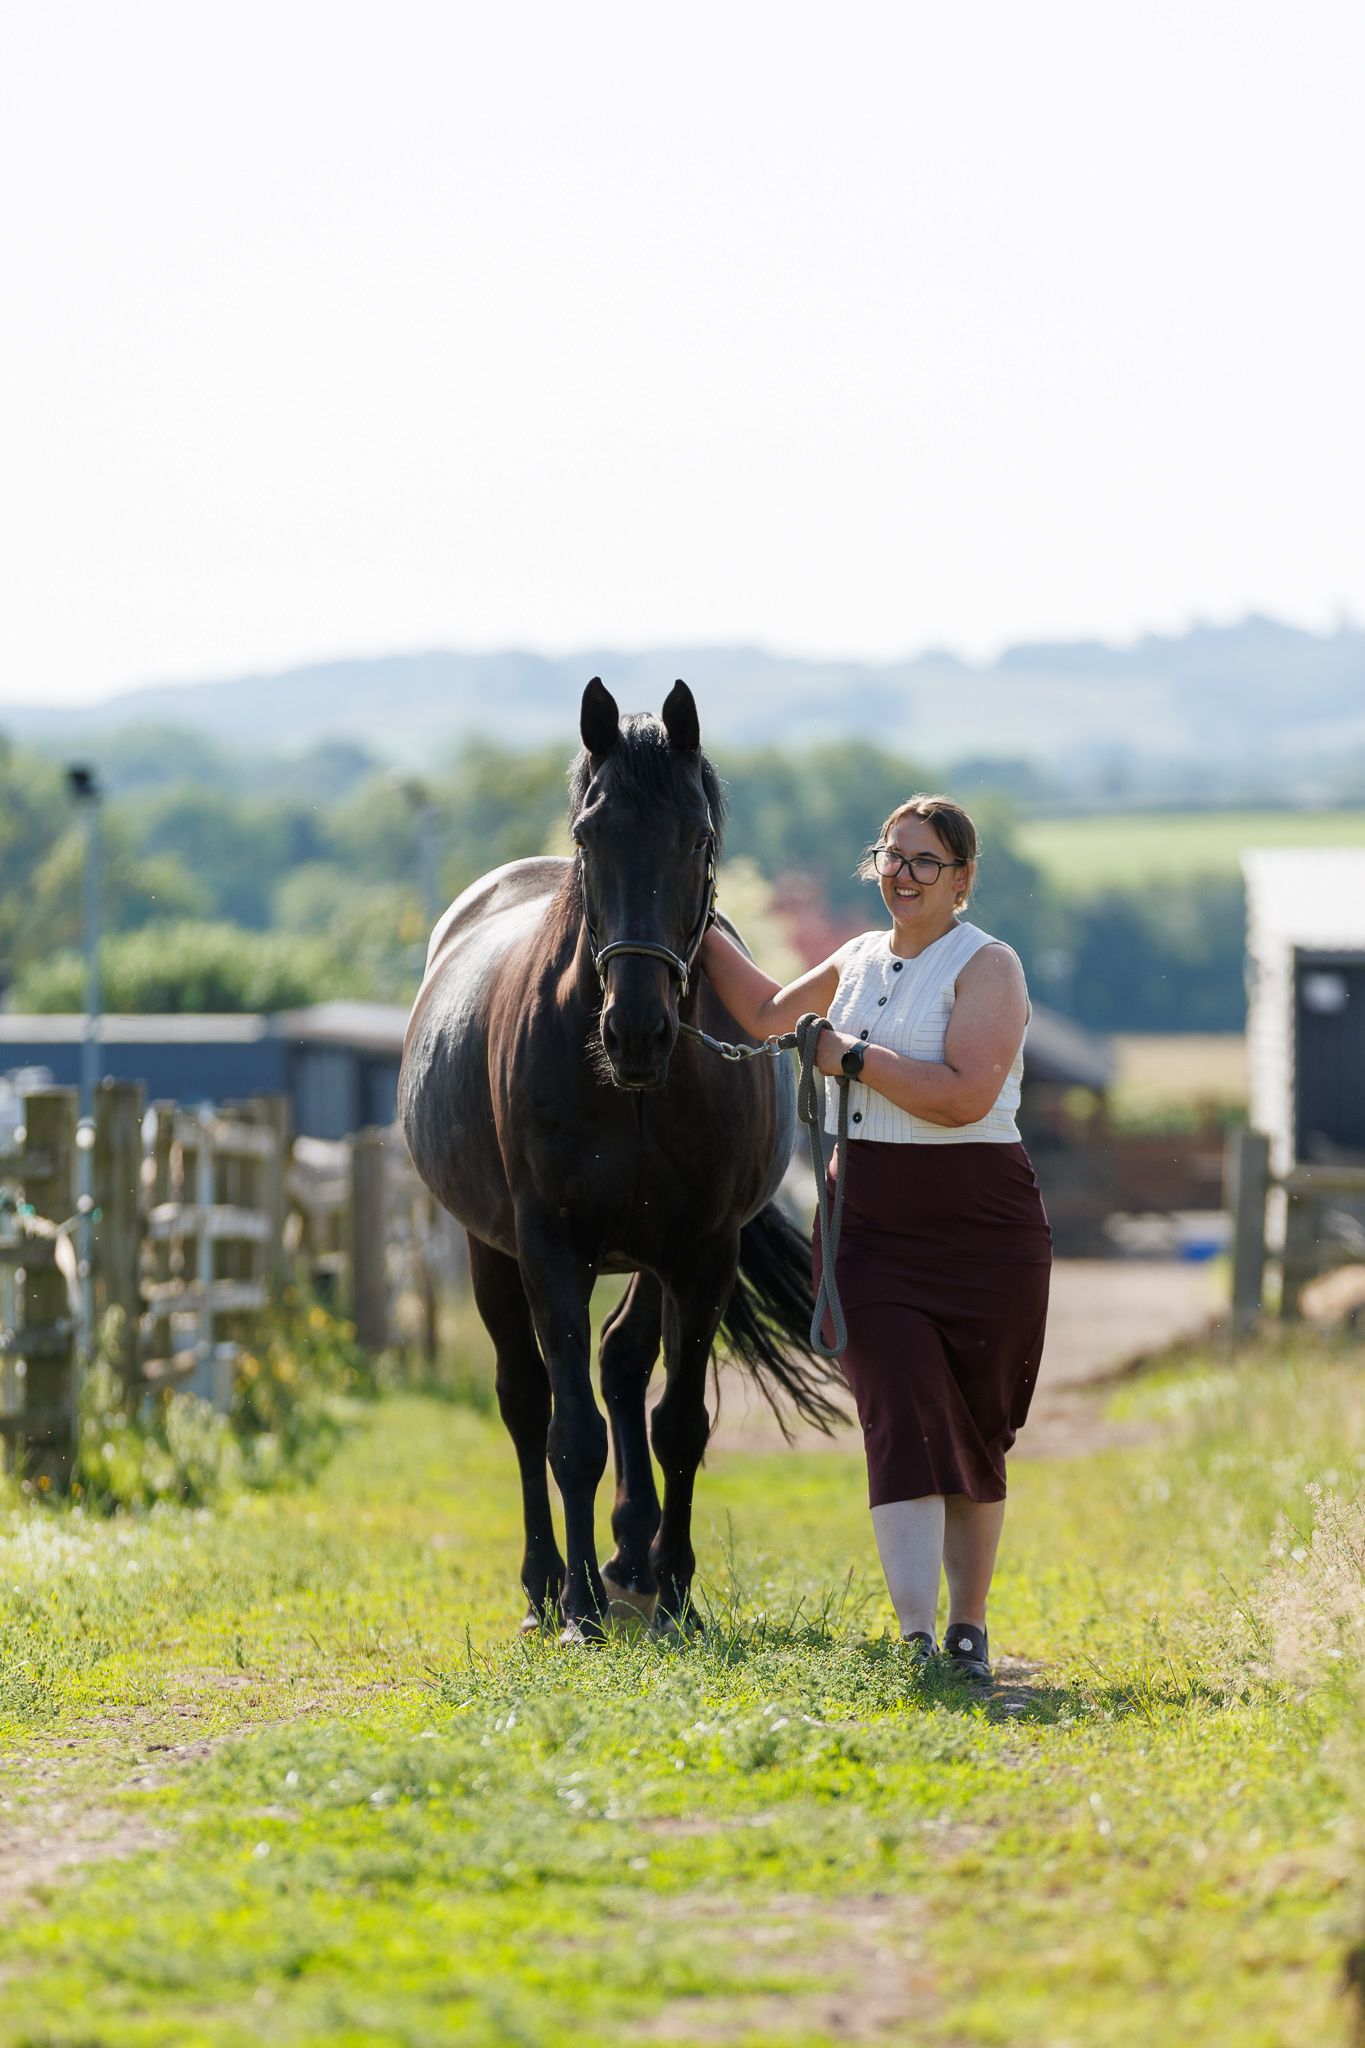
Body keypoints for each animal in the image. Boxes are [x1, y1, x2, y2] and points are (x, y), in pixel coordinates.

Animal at [398, 677, 843, 1642]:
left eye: (698, 837)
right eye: (588, 834)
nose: (635, 1031)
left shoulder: (704, 1250)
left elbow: (678, 1422)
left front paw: (674, 1591)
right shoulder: (550, 1246)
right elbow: (571, 1433)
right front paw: (578, 1609)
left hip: (646, 1257)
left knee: (621, 1362)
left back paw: (633, 1557)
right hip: (490, 1251)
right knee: (526, 1398)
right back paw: (544, 1585)